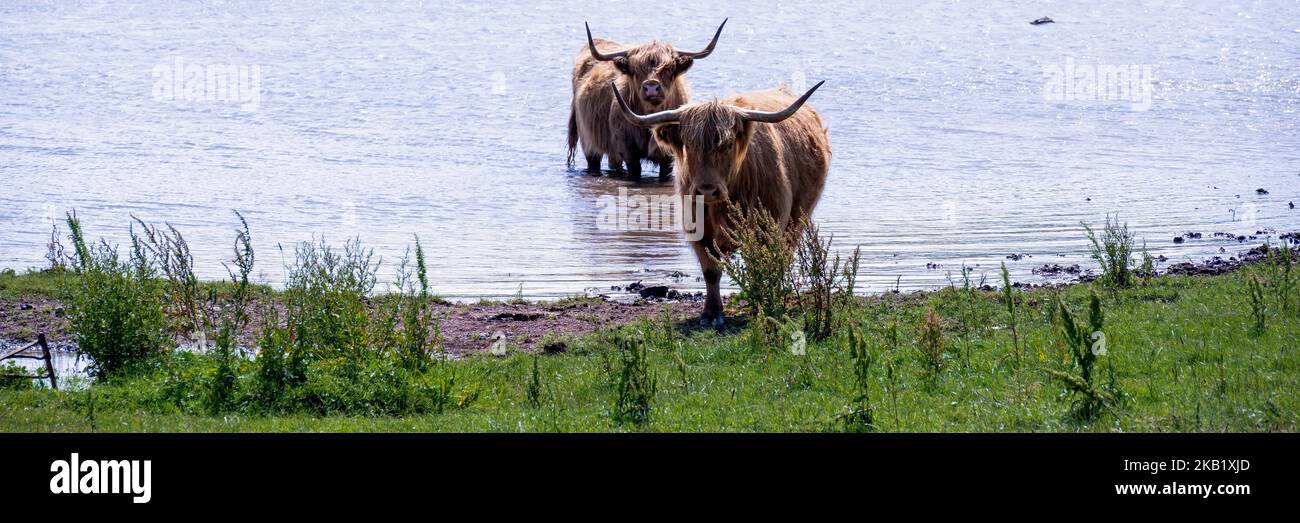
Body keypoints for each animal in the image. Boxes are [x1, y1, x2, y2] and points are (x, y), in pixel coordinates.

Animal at [568, 19, 727, 179]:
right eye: (635, 69)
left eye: (669, 68)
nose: (651, 86)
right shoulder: (627, 148)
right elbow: (635, 171)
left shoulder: (668, 154)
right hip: (589, 142)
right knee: (594, 162)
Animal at [611, 80, 830, 326]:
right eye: (689, 144)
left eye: (727, 144)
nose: (707, 189)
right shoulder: (698, 230)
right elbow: (711, 271)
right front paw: (711, 313)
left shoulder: (769, 225)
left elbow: (763, 264)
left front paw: (762, 305)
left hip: (797, 219)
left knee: (783, 256)